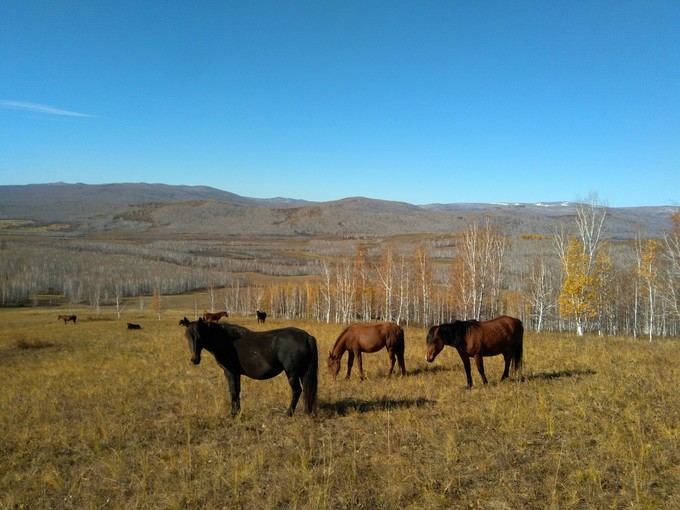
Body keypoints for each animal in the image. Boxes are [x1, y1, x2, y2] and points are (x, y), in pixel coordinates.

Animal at [183, 320, 316, 416]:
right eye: (187, 336)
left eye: (199, 336)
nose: (194, 359)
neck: (226, 341)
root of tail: (306, 336)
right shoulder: (236, 373)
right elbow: (237, 391)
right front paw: (238, 411)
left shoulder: (229, 372)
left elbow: (233, 392)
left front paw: (233, 414)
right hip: (302, 374)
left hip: (292, 374)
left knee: (297, 391)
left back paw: (289, 413)